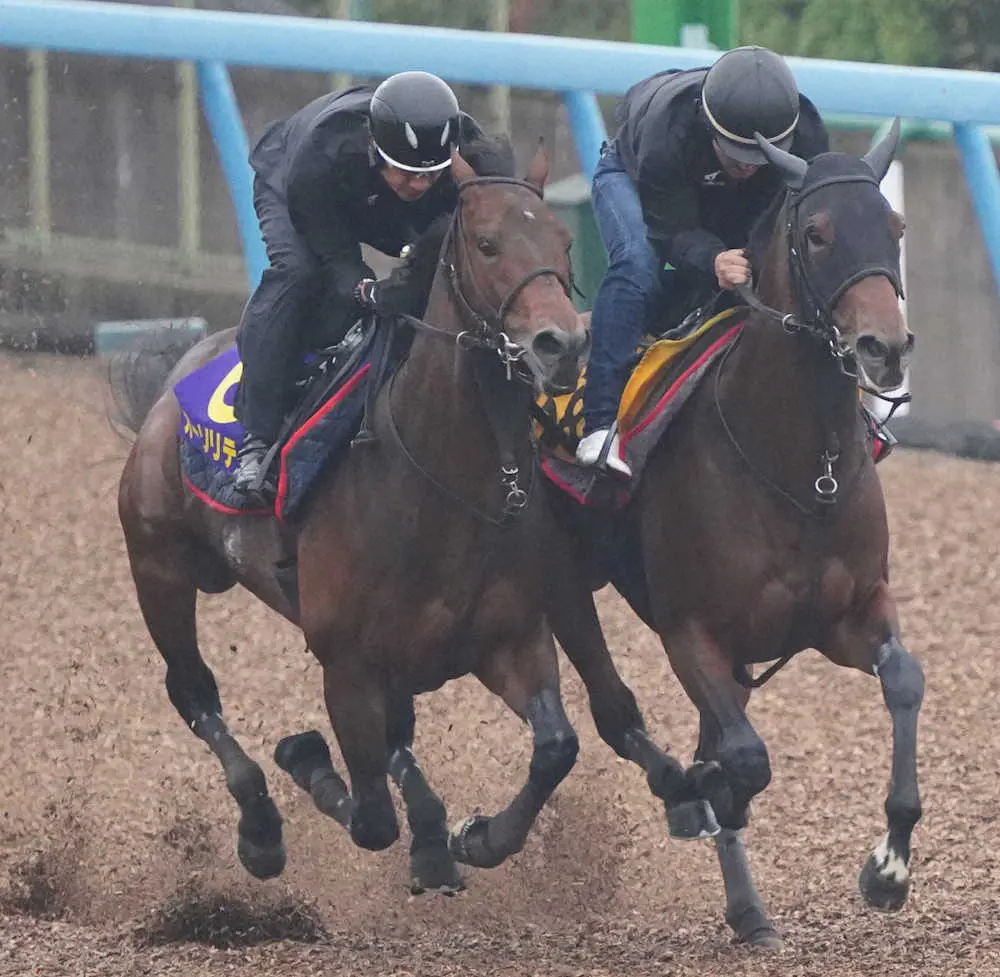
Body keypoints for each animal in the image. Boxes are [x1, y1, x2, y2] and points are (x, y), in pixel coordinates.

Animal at [113, 147, 588, 892]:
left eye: (564, 243)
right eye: (487, 245)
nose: (560, 344)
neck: (444, 481)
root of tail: (171, 384)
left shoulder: (512, 639)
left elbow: (556, 747)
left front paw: (479, 836)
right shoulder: (348, 665)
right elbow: (370, 819)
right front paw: (305, 759)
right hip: (158, 566)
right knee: (193, 691)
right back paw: (260, 827)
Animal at [548, 120, 920, 944]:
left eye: (895, 226)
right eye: (816, 234)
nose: (884, 347)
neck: (800, 468)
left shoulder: (849, 614)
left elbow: (904, 680)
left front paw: (888, 866)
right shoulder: (692, 632)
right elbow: (745, 760)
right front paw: (709, 791)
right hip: (548, 584)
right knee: (614, 711)